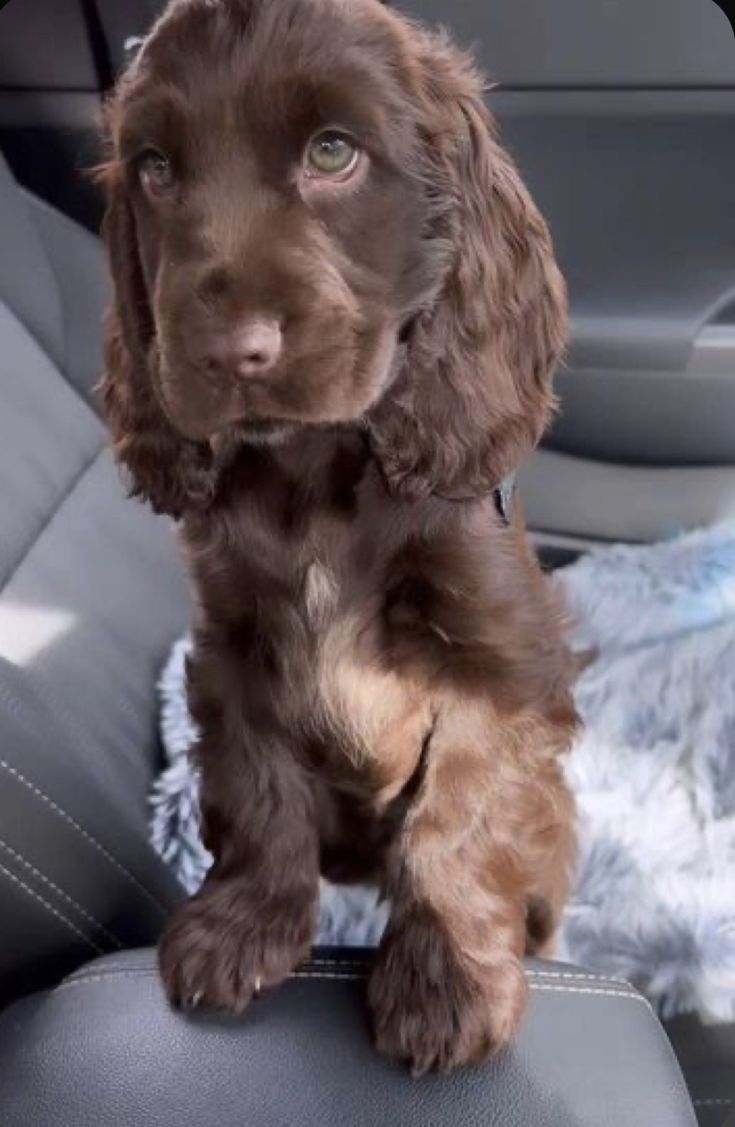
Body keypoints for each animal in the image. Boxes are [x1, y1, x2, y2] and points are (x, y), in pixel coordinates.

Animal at [99, 0, 581, 1072]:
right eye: (154, 169)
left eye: (332, 152)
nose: (227, 354)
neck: (314, 475)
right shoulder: (231, 643)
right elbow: (255, 783)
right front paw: (241, 926)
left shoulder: (499, 655)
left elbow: (464, 805)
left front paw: (445, 981)